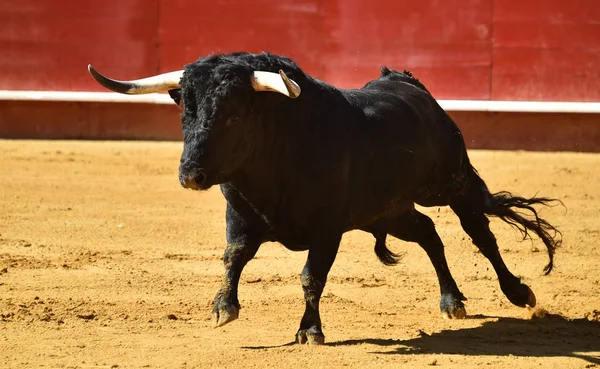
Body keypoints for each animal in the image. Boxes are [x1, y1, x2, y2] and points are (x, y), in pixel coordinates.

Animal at [89, 50, 564, 344]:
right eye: (185, 112)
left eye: (235, 116)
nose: (190, 175)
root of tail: (407, 83)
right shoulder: (239, 215)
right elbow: (233, 257)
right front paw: (224, 308)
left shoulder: (327, 228)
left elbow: (310, 277)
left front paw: (309, 332)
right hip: (388, 212)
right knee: (430, 234)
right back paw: (452, 302)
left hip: (451, 182)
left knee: (479, 232)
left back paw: (518, 293)